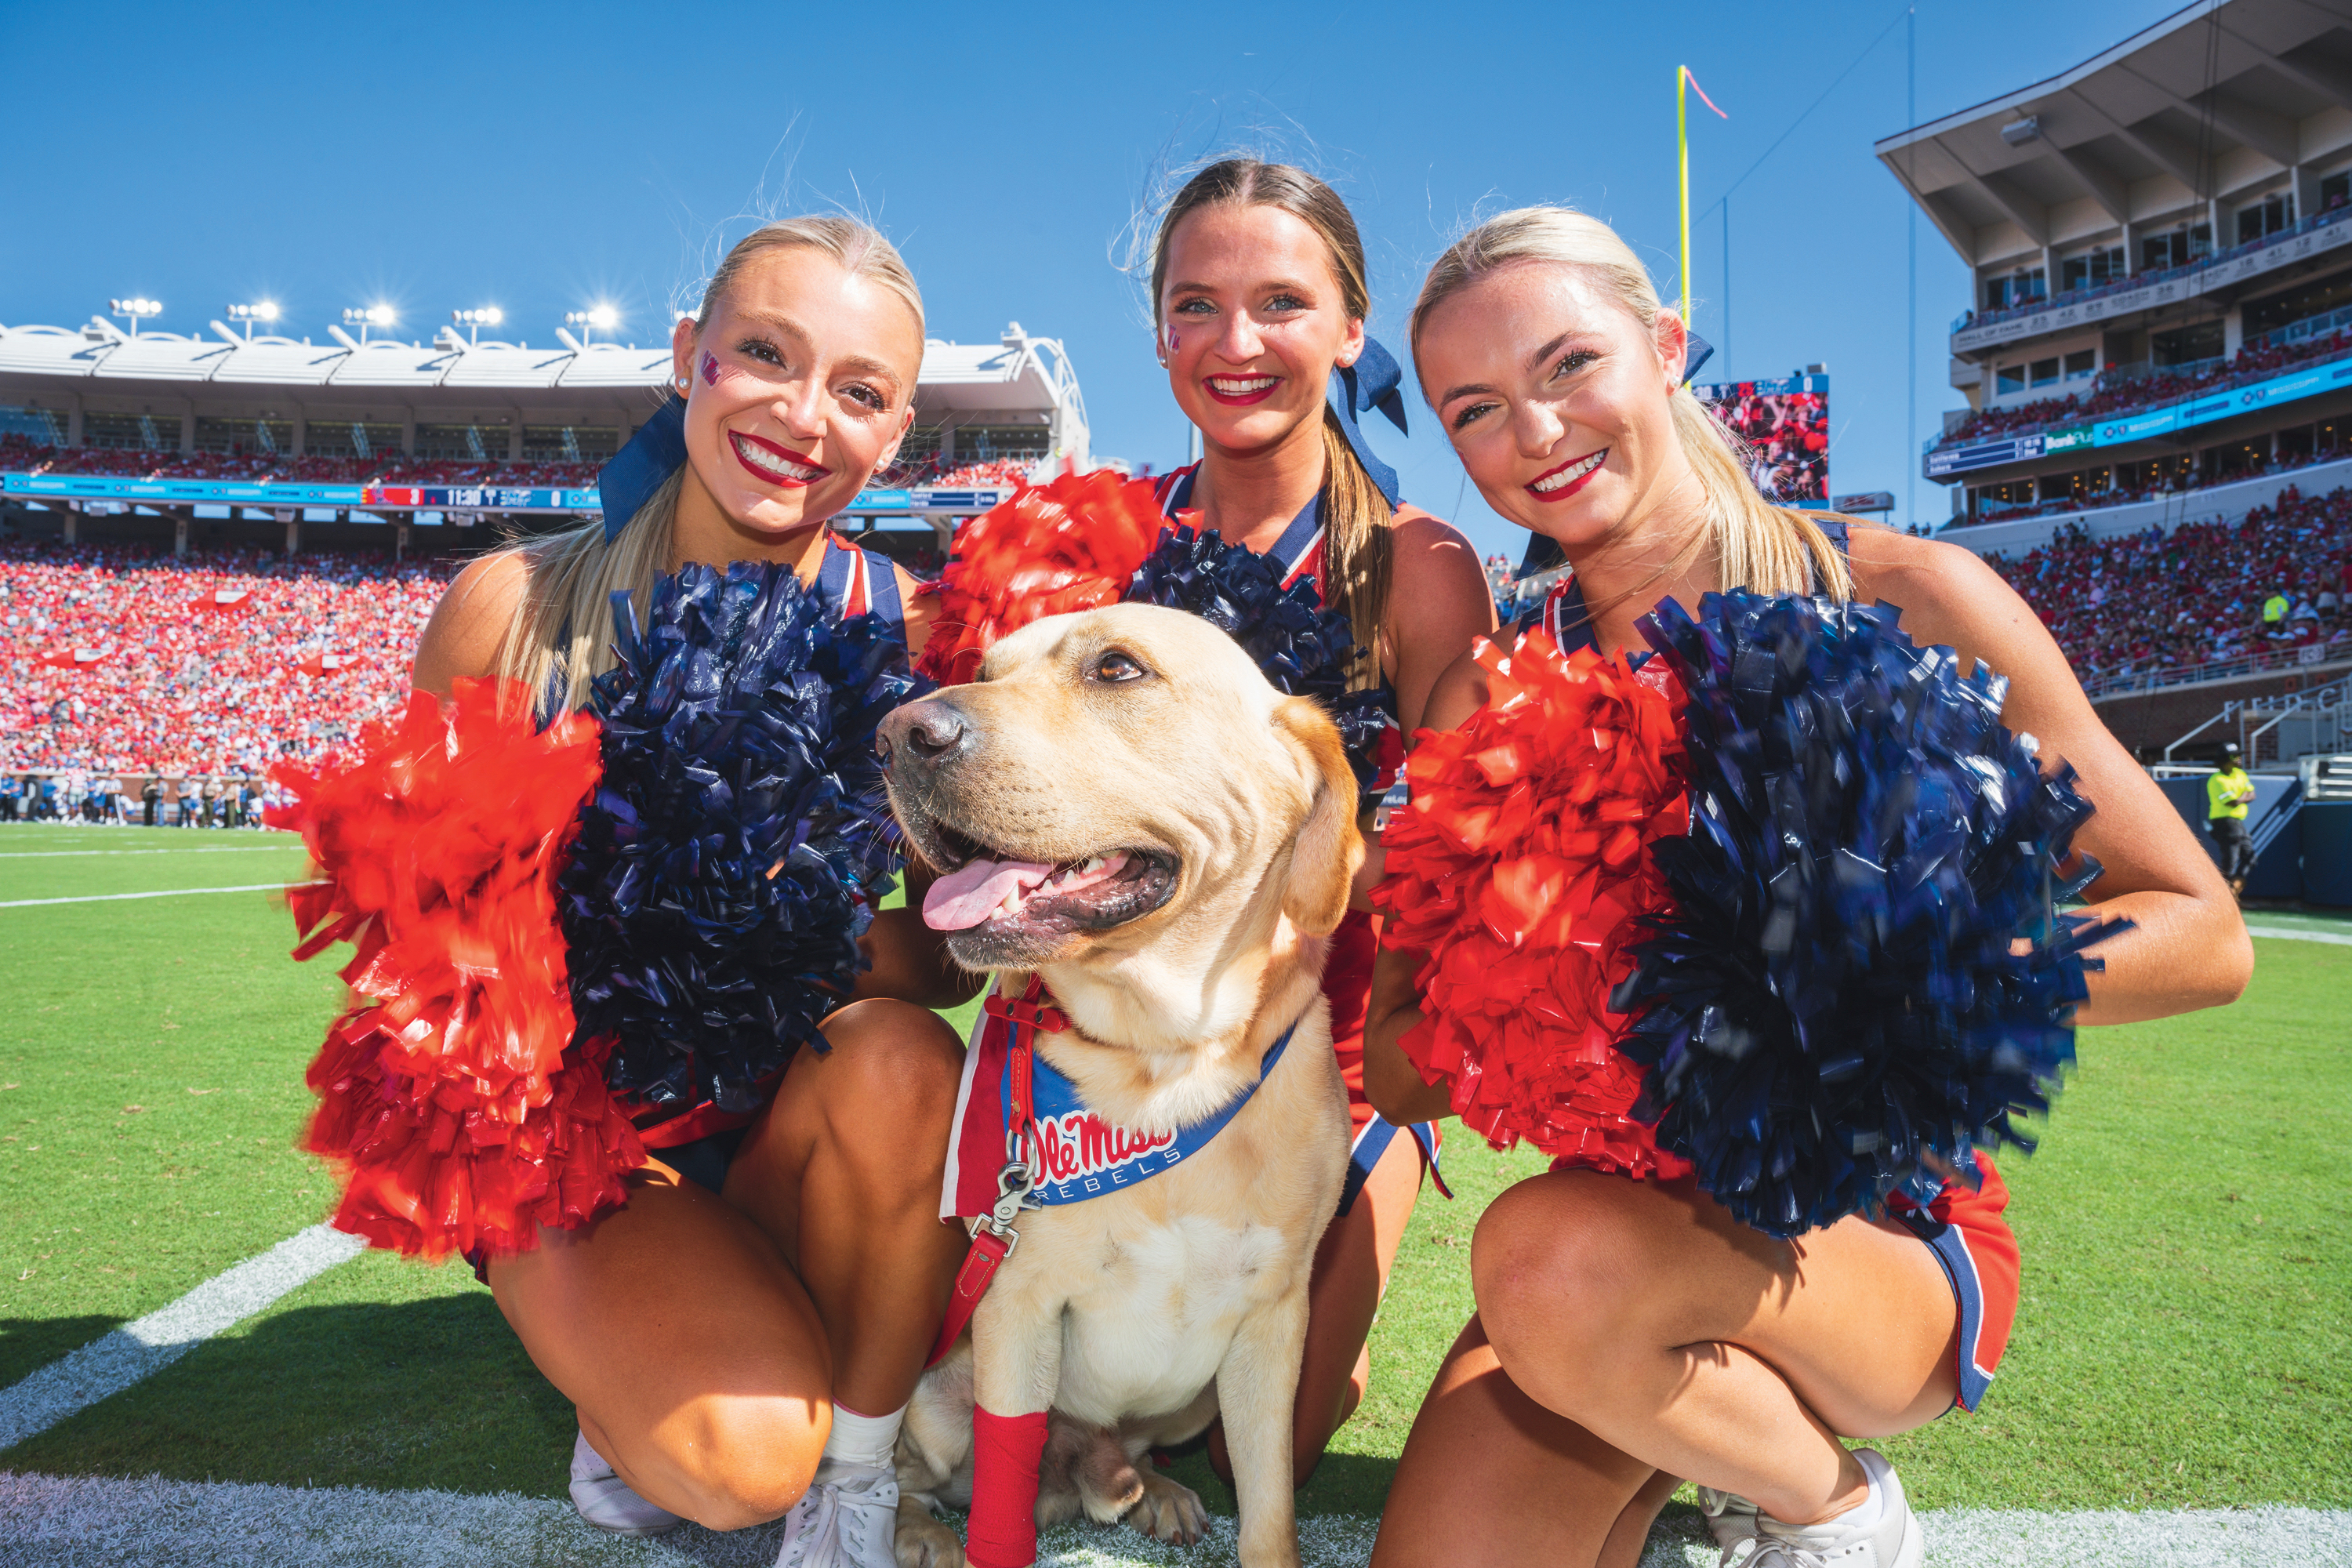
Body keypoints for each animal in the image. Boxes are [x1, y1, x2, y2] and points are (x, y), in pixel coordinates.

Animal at [880, 606, 1364, 1568]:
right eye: (984, 669)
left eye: (1117, 668)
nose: (896, 734)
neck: (1161, 1064)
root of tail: (1082, 1466)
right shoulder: (1017, 1307)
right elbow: (997, 1511)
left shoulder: (1271, 1328)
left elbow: (1270, 1514)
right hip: (942, 1393)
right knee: (912, 1474)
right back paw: (919, 1529)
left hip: (1191, 1402)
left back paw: (1158, 1491)